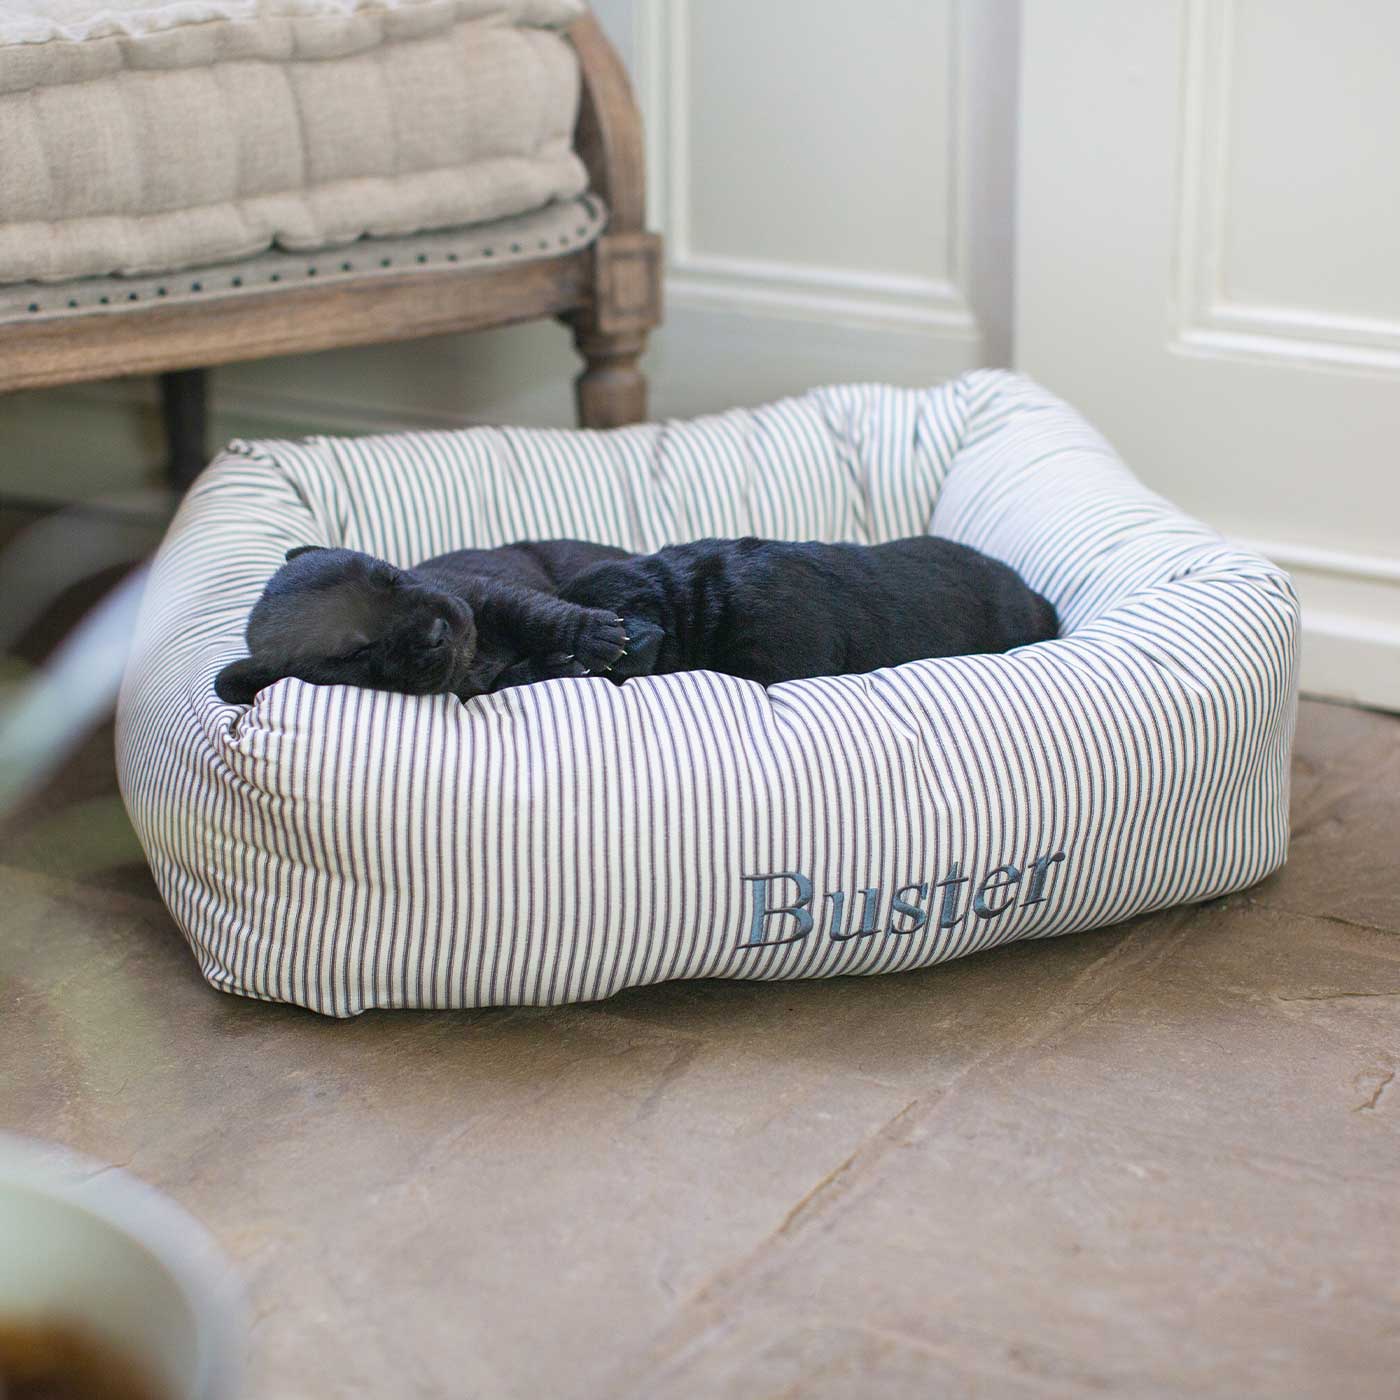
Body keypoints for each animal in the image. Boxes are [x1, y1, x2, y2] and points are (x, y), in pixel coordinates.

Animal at [215, 540, 641, 705]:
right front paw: (552, 665)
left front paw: (592, 634)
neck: (476, 652)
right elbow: (501, 681)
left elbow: (540, 616)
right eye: (356, 652)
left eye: (392, 576)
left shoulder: (491, 595)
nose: (438, 632)